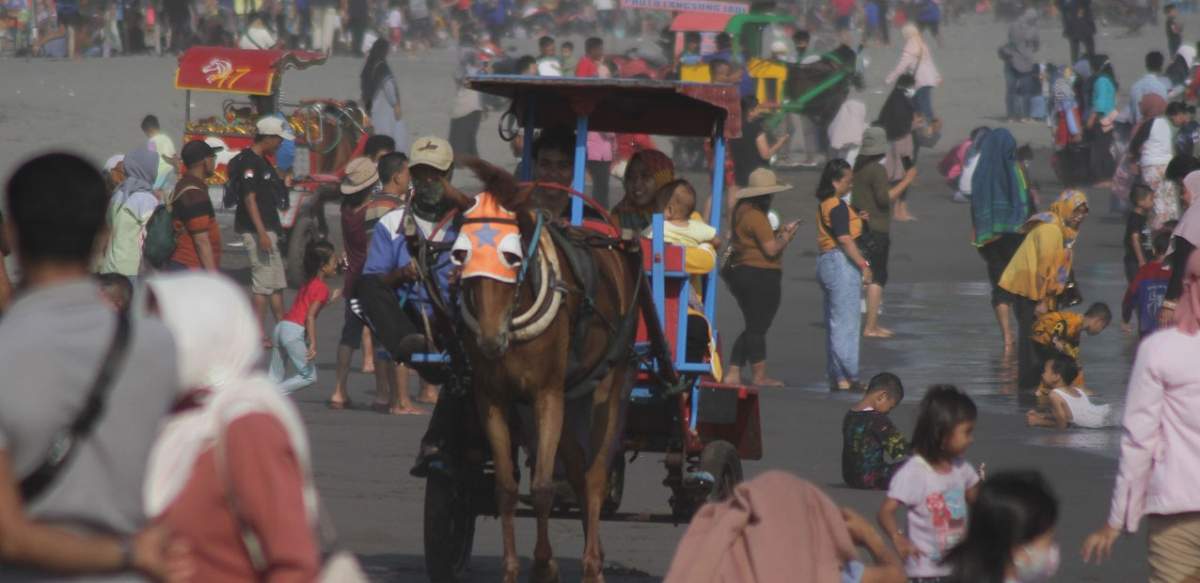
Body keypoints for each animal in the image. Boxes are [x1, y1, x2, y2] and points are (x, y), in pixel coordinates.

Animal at [451, 159, 643, 583]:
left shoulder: (546, 394)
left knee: (594, 475)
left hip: (610, 380)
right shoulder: (493, 396)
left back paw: (592, 565)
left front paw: (542, 565)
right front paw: (511, 569)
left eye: (511, 256)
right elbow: (506, 488)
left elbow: (541, 488)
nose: (491, 341)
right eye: (459, 255)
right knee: (575, 466)